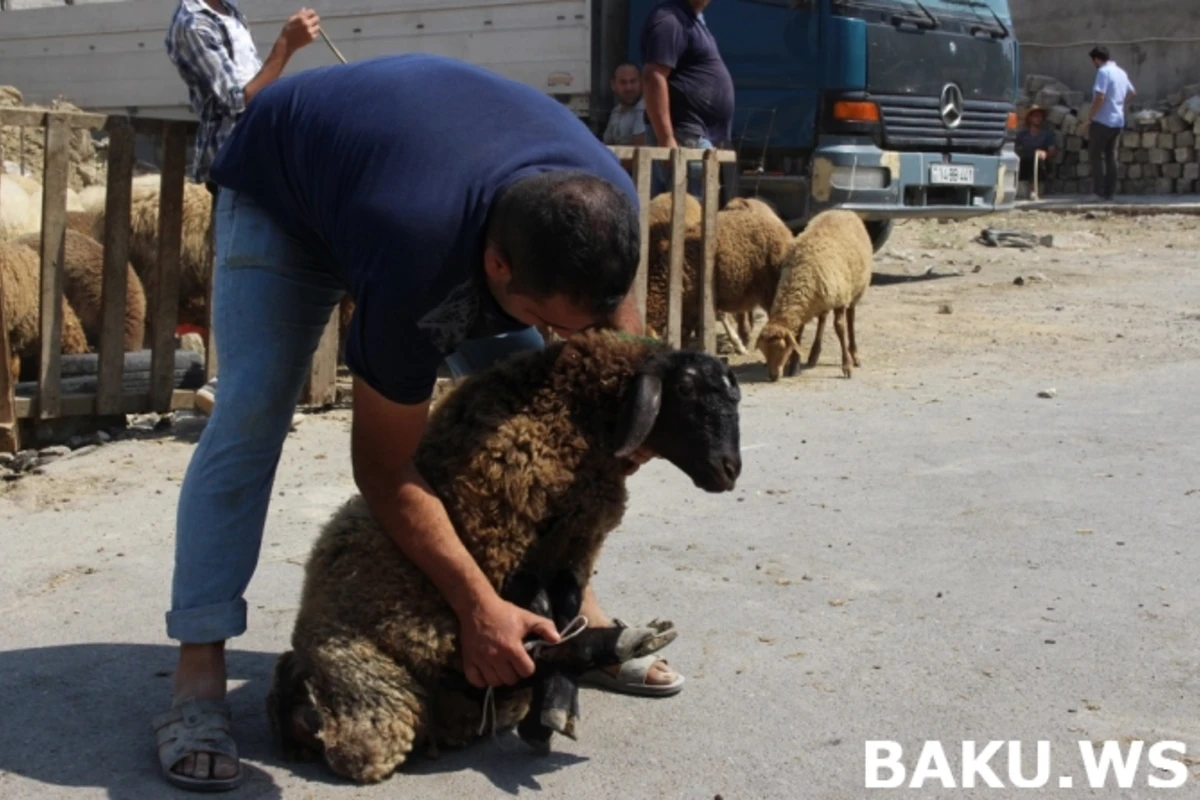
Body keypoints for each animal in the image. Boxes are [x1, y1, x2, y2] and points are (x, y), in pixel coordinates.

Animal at [267, 328, 744, 786]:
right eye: (685, 388)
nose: (730, 470)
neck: (571, 417)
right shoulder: (507, 541)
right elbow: (542, 620)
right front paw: (556, 703)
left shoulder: (573, 546)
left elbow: (565, 611)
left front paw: (554, 707)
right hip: (389, 679)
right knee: (479, 671)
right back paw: (625, 641)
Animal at [758, 208, 873, 381]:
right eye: (763, 350)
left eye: (782, 348)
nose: (773, 376)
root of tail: (844, 210)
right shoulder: (808, 305)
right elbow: (799, 334)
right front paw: (794, 368)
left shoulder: (840, 297)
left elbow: (840, 328)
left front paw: (847, 366)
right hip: (825, 296)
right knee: (822, 319)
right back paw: (814, 355)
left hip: (856, 288)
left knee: (851, 318)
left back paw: (854, 354)